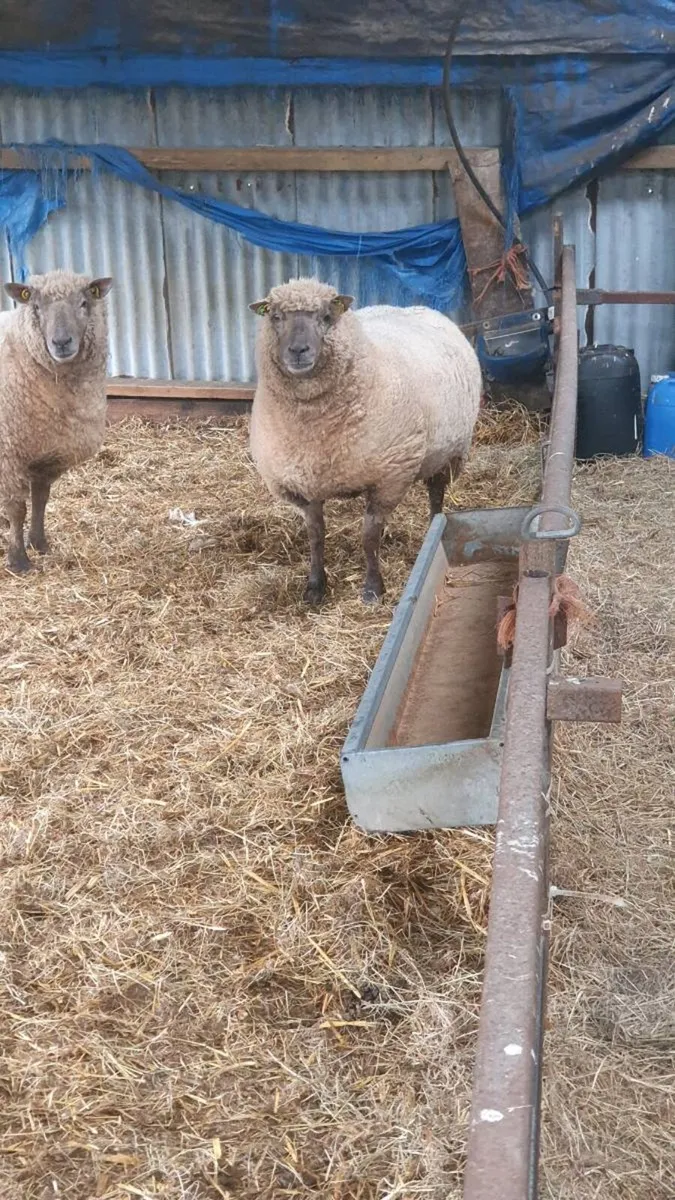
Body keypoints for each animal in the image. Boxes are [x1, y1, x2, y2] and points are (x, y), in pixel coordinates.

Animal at [0, 270, 113, 573]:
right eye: (36, 307)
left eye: (84, 303)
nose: (61, 343)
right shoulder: (7, 454)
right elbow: (17, 509)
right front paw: (18, 560)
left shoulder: (47, 452)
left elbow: (41, 498)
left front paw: (39, 543)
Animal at [248, 278, 482, 604]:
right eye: (276, 317)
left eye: (326, 317)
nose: (298, 350)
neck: (313, 428)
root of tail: (416, 307)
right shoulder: (303, 485)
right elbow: (315, 536)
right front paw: (315, 585)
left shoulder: (389, 477)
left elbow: (369, 538)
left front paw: (373, 588)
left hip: (449, 453)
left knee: (436, 495)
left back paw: (432, 531)